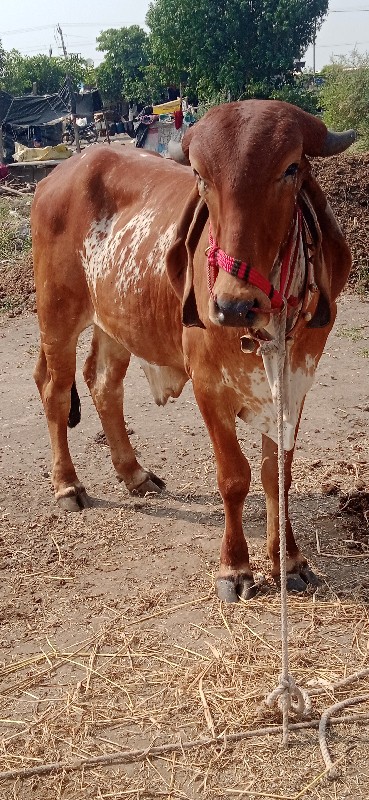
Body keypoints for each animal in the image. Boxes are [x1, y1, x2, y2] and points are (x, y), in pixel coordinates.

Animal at [33, 100, 352, 600]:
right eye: (201, 176)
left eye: (291, 168)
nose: (234, 304)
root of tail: (59, 174)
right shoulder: (208, 387)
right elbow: (235, 477)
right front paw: (235, 568)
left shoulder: (296, 383)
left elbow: (276, 474)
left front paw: (289, 561)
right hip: (57, 316)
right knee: (55, 392)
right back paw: (67, 485)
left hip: (115, 324)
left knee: (103, 385)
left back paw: (134, 473)